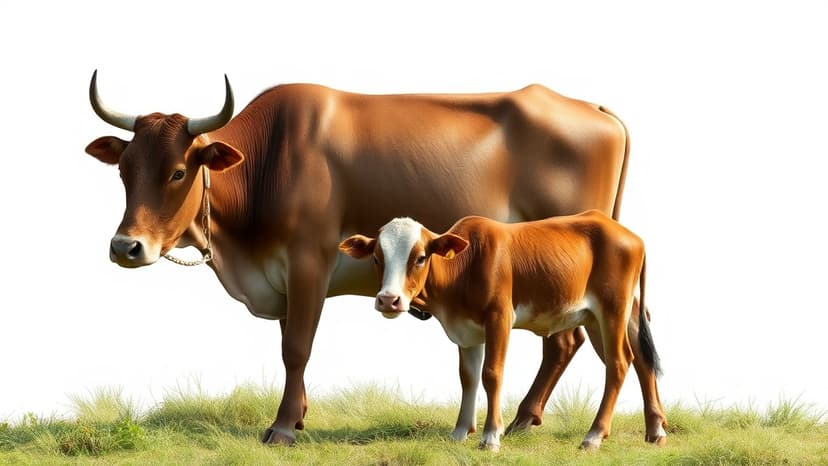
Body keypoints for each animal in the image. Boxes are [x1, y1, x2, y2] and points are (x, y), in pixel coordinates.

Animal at [339, 211, 666, 451]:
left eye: (420, 257)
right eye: (377, 258)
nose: (388, 300)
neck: (465, 266)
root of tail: (625, 232)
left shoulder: (500, 318)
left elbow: (491, 374)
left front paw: (490, 436)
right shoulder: (466, 330)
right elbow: (468, 378)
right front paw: (460, 432)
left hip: (612, 309)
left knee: (618, 363)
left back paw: (594, 435)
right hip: (602, 317)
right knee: (639, 359)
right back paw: (655, 430)